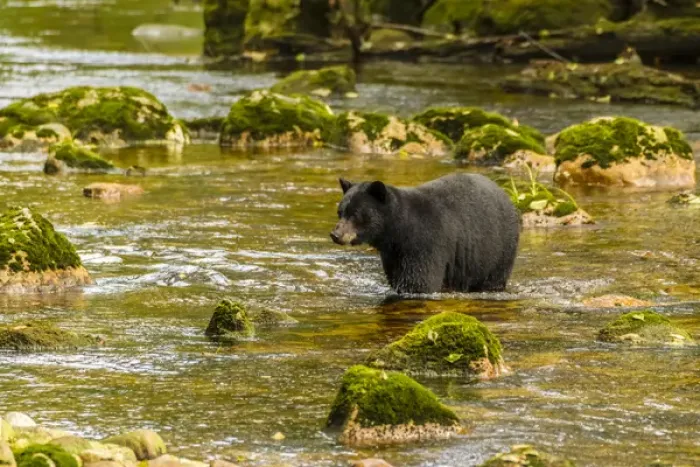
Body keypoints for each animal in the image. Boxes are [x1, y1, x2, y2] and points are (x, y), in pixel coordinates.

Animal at [330, 173, 520, 294]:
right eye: (340, 212)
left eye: (355, 214)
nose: (335, 234)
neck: (398, 231)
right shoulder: (393, 254)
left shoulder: (426, 241)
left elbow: (419, 281)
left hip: (498, 248)